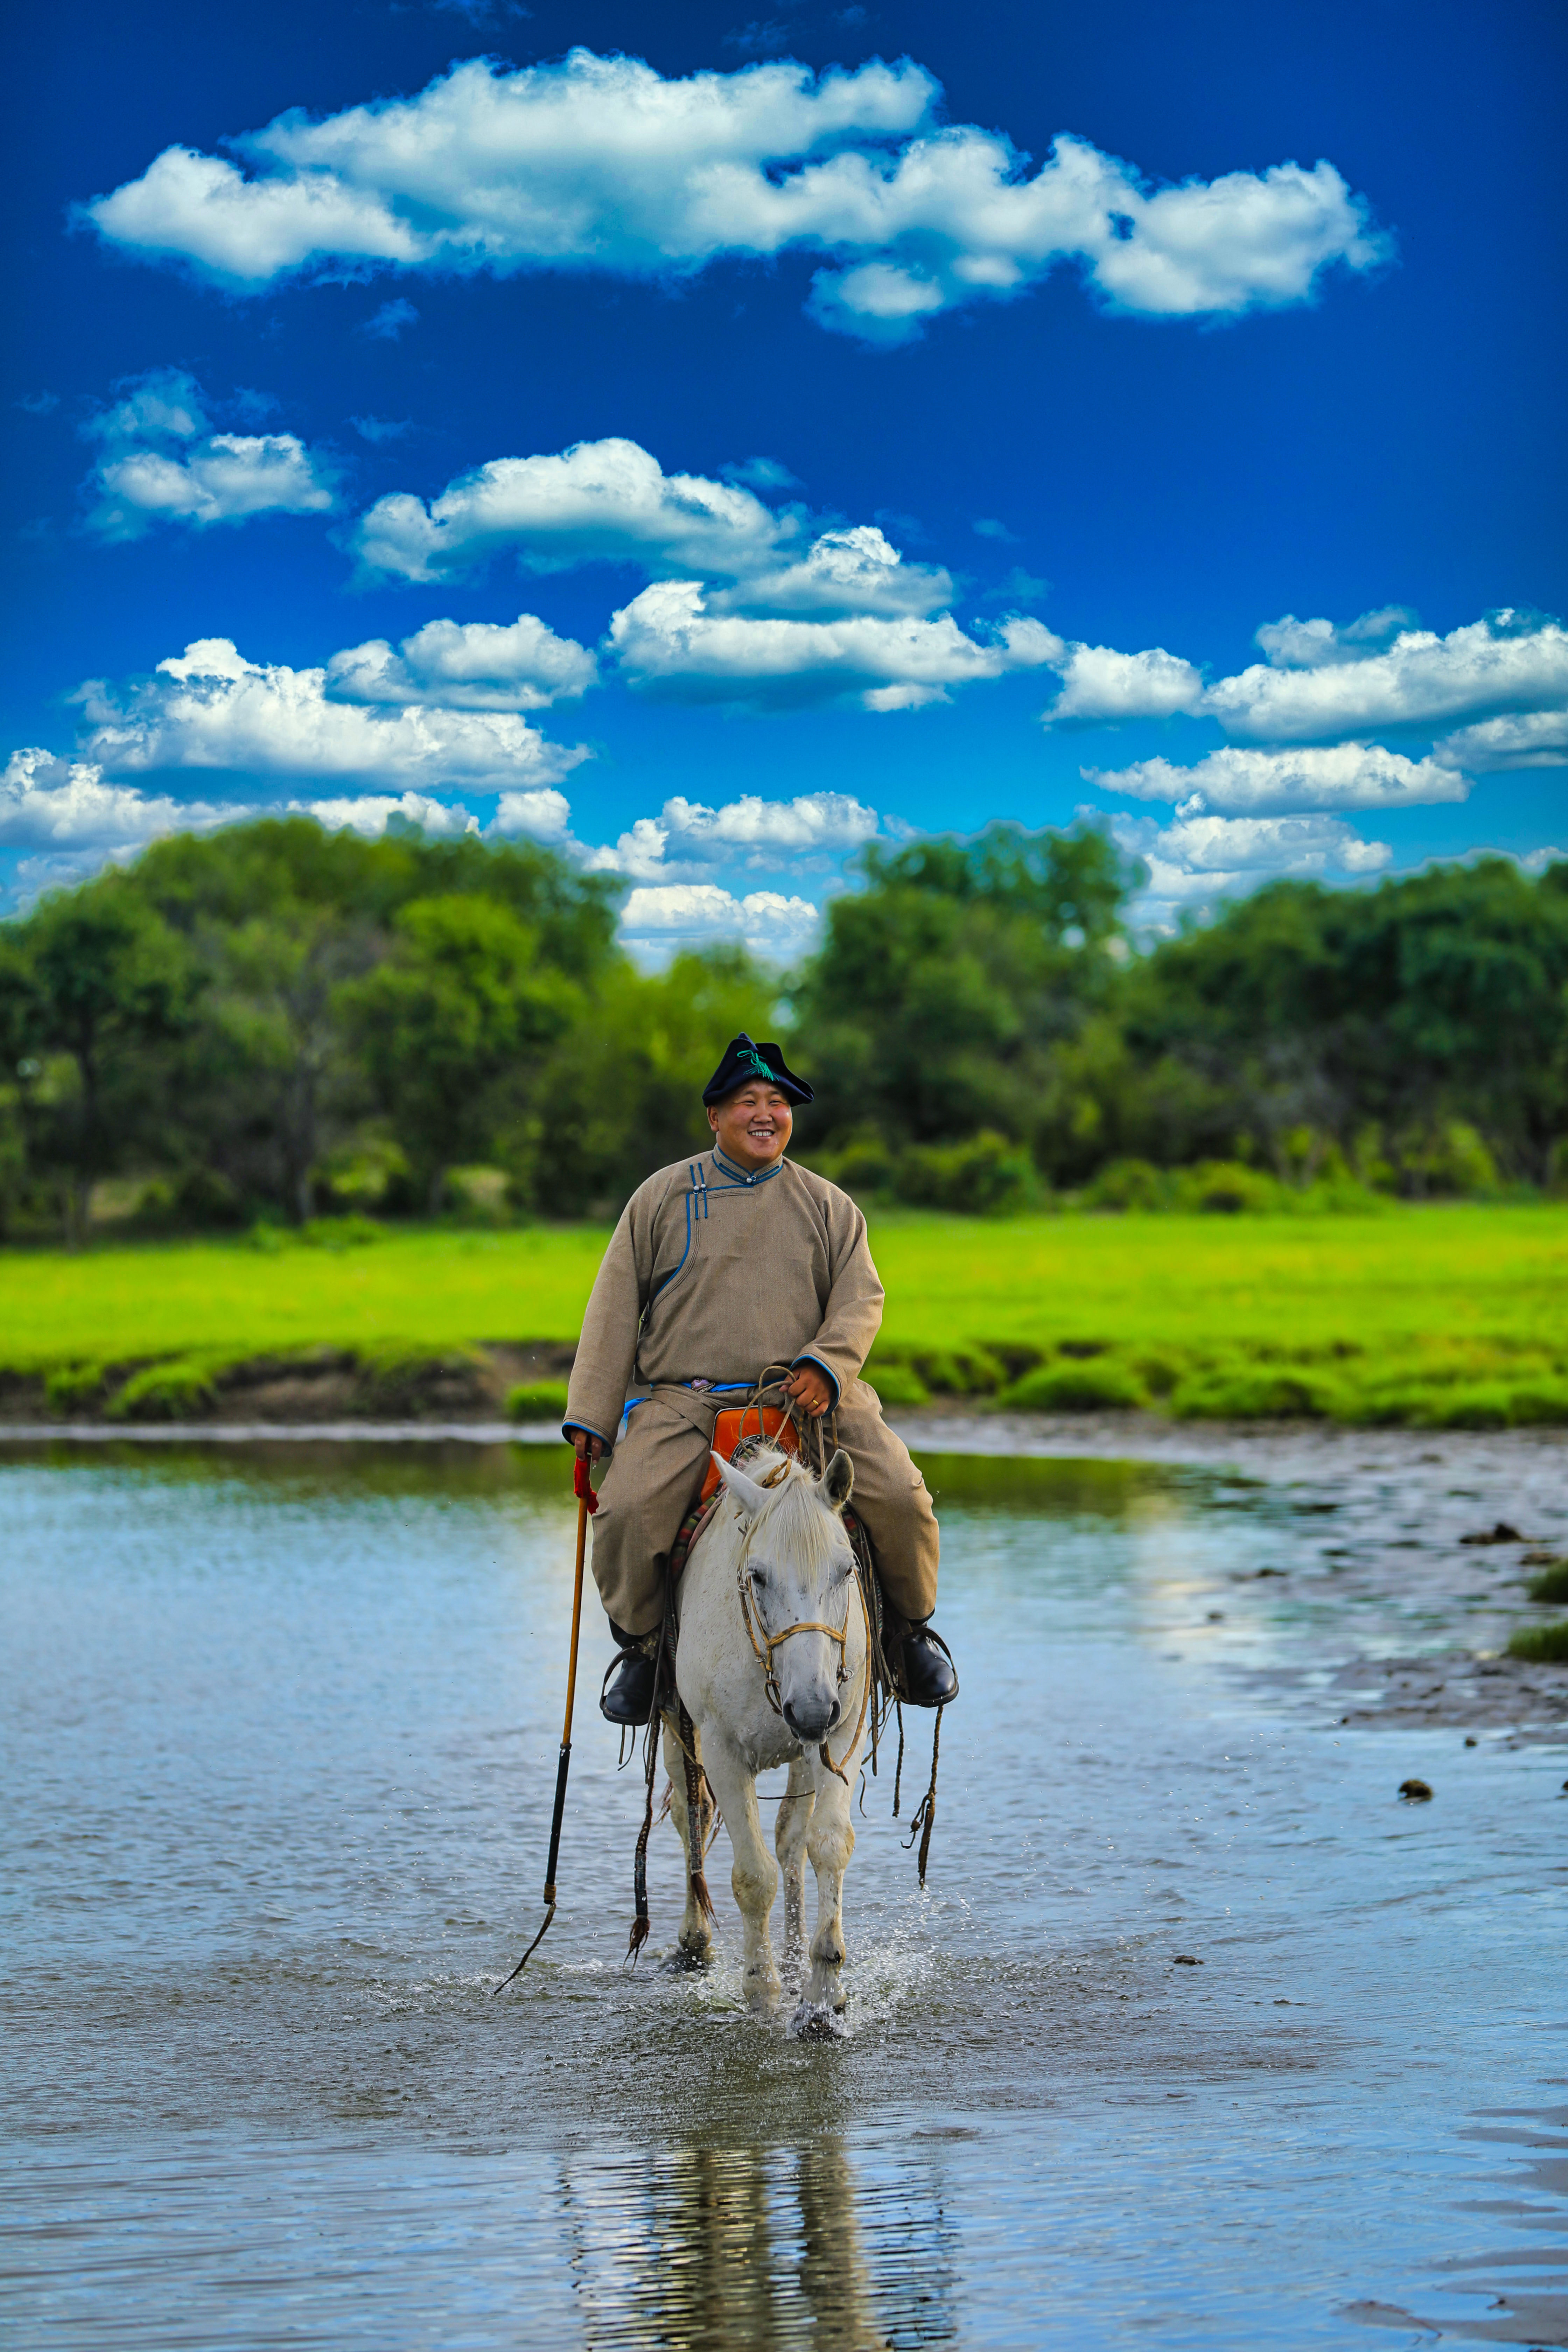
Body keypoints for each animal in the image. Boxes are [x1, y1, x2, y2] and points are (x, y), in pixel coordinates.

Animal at [667, 1439, 879, 2032]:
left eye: (847, 1568)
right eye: (758, 1576)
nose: (810, 1710)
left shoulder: (842, 1734)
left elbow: (825, 1843)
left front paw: (823, 1991)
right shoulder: (720, 1751)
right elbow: (752, 1876)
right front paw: (761, 1992)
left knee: (789, 1840)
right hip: (675, 1729)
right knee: (690, 1817)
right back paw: (694, 1942)